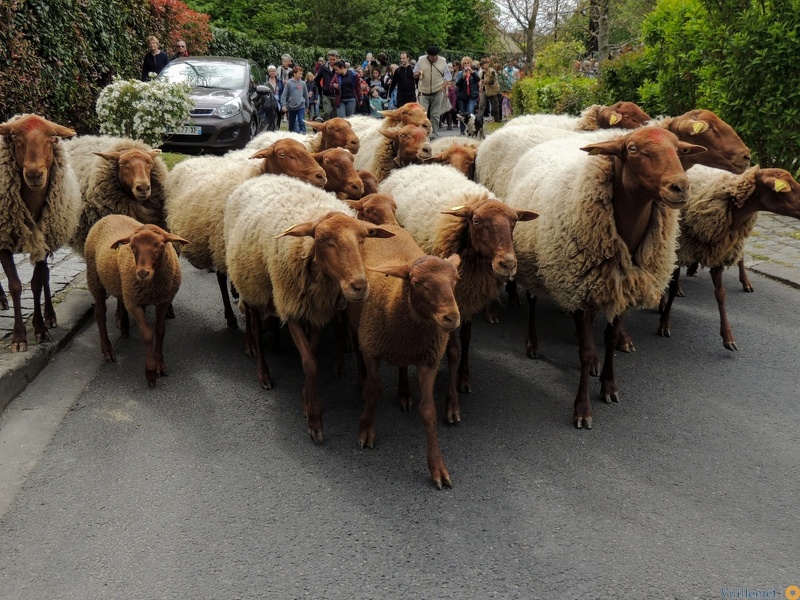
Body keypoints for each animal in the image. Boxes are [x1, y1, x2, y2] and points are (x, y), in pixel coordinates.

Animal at [84, 213, 189, 386]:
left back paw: (124, 327)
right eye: (132, 247)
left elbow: (160, 331)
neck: (153, 285)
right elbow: (147, 333)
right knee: (99, 313)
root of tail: (110, 215)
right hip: (95, 278)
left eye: (161, 246)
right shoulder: (134, 303)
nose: (142, 273)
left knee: (120, 299)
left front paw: (160, 364)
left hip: (122, 286)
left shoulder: (164, 300)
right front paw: (150, 372)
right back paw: (107, 350)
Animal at [164, 138, 326, 330]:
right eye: (282, 154)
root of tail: (185, 161)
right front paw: (231, 316)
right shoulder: (220, 242)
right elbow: (221, 278)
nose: (321, 175)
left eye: (304, 149)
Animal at [223, 172, 392, 436]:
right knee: (254, 324)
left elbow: (310, 355)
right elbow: (310, 364)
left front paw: (305, 398)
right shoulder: (290, 306)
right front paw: (314, 419)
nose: (359, 286)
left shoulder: (318, 311)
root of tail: (262, 176)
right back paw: (262, 370)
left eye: (363, 240)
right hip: (251, 282)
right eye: (323, 240)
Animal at [382, 163, 536, 422]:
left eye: (514, 222)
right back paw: (404, 393)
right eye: (476, 220)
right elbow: (453, 351)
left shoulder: (467, 299)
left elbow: (466, 339)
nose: (507, 264)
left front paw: (464, 378)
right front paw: (452, 404)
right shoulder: (450, 305)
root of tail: (416, 165)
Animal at [506, 126, 708, 428]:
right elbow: (587, 351)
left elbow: (610, 339)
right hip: (534, 263)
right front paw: (582, 409)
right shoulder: (577, 285)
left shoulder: (621, 287)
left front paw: (609, 386)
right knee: (531, 300)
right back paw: (533, 343)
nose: (680, 187)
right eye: (633, 149)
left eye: (678, 149)